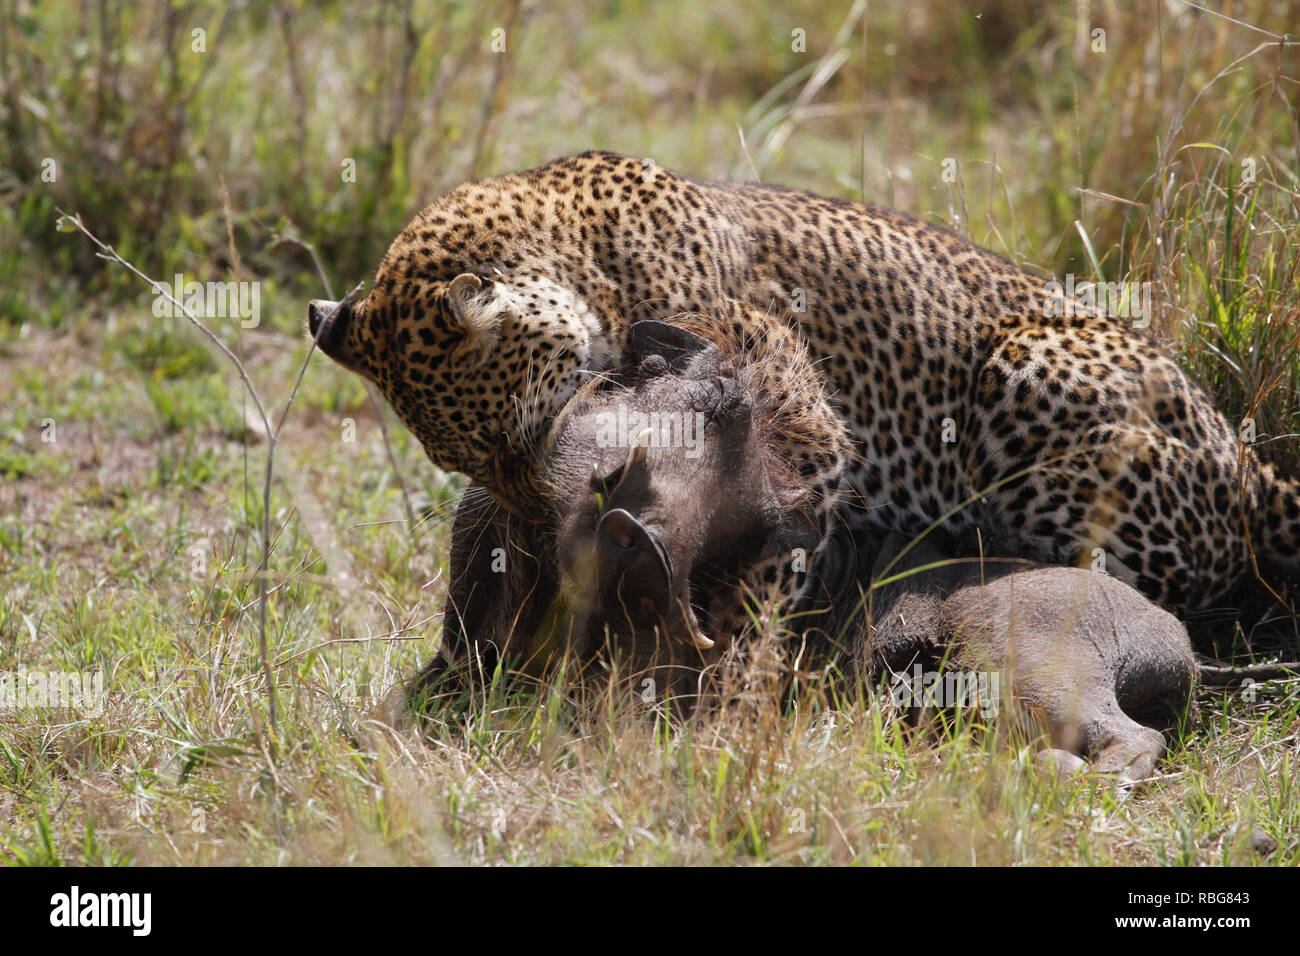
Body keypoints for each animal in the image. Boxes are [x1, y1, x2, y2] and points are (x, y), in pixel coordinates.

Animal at [306, 149, 1300, 613]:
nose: (529, 521)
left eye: (516, 439)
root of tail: (1247, 456)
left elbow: (761, 570)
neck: (585, 266)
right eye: (460, 463)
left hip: (1026, 367)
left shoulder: (800, 430)